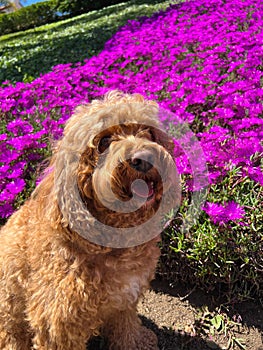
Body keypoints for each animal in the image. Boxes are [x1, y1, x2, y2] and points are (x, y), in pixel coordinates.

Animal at [0, 91, 180, 348]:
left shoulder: (126, 297)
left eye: (148, 132)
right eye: (103, 142)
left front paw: (135, 342)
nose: (144, 158)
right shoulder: (57, 325)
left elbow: (125, 326)